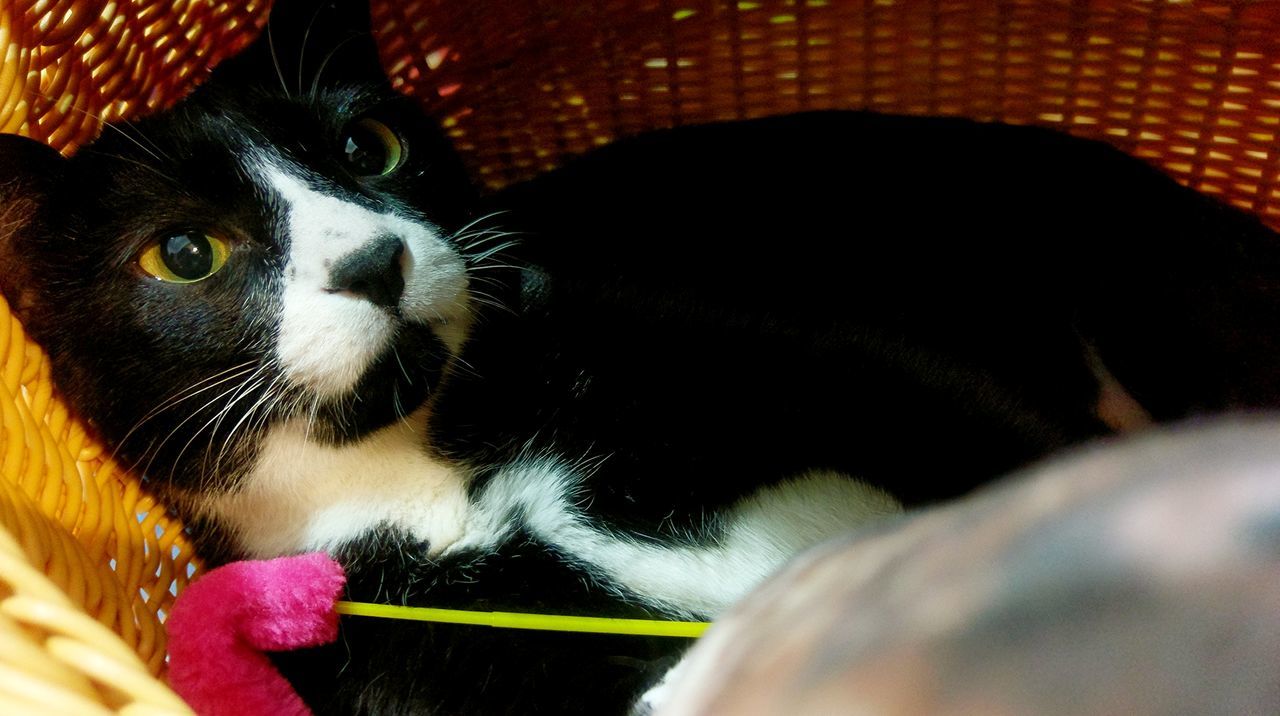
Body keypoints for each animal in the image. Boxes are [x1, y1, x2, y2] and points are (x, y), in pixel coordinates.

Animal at [2, 0, 1280, 712]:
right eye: (183, 252)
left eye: (370, 145)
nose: (370, 258)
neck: (448, 469)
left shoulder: (818, 347)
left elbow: (1027, 456)